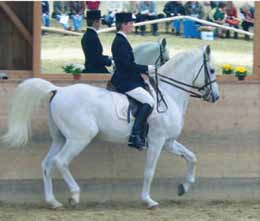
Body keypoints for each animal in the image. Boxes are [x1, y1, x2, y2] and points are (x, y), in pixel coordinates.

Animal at [2, 45, 219, 209]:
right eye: (212, 70)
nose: (215, 97)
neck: (168, 95)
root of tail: (59, 90)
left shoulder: (169, 142)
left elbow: (192, 157)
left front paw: (184, 187)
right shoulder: (157, 142)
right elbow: (149, 171)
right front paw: (148, 200)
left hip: (60, 138)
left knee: (47, 164)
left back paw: (53, 202)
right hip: (79, 138)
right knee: (61, 161)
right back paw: (74, 195)